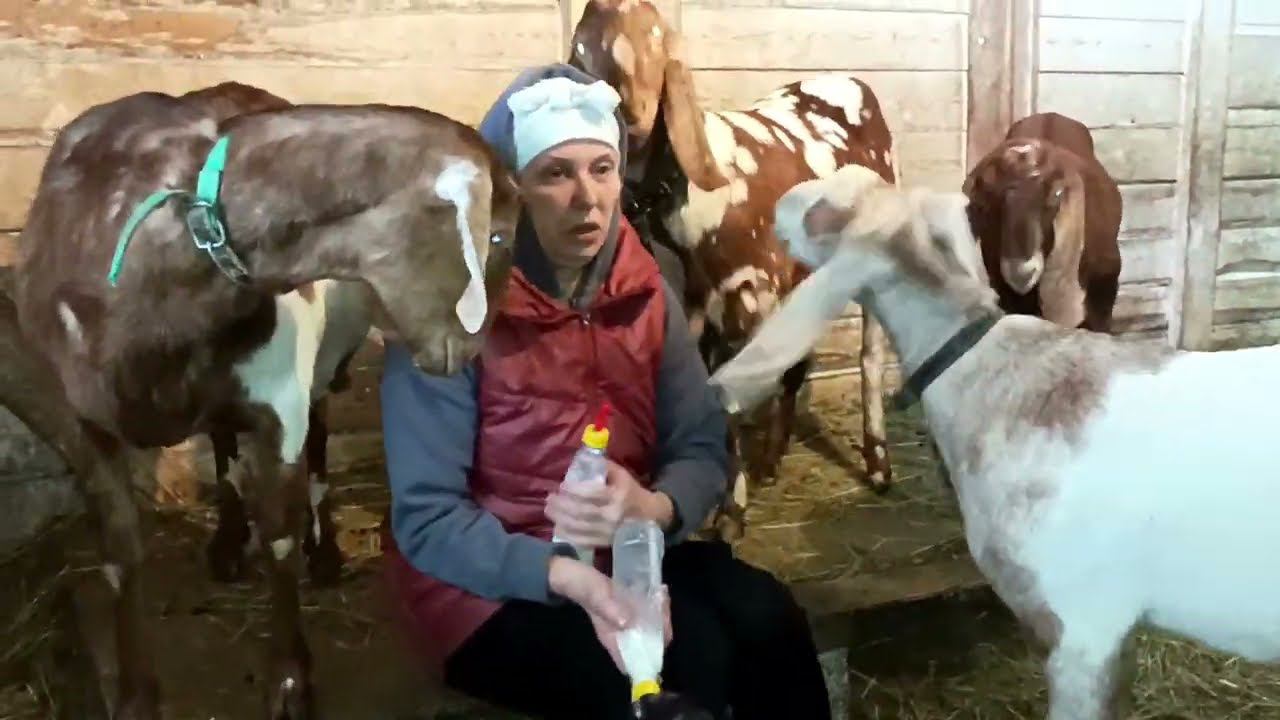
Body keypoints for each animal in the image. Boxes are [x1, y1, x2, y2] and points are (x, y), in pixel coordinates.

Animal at [10, 81, 520, 719]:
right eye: (498, 235)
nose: (473, 351)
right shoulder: (84, 417)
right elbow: (120, 551)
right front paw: (134, 695)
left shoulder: (282, 399)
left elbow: (280, 532)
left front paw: (291, 682)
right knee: (223, 442)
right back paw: (228, 542)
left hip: (324, 361)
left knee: (317, 436)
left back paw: (324, 553)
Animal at [569, 0, 900, 541]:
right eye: (581, 49)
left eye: (657, 41)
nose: (628, 112)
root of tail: (847, 81)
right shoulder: (684, 310)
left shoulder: (745, 294)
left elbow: (730, 402)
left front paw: (731, 513)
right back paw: (772, 460)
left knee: (869, 355)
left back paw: (878, 467)